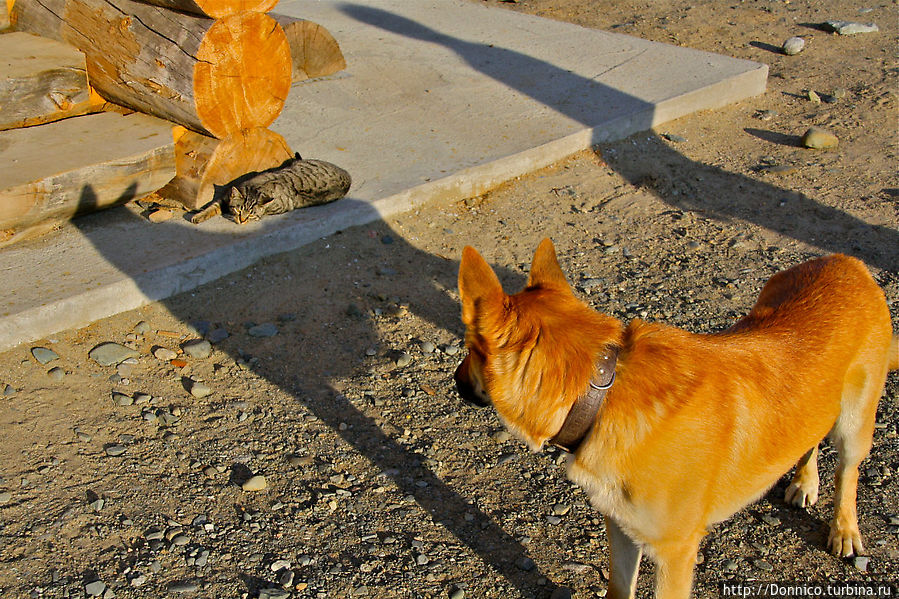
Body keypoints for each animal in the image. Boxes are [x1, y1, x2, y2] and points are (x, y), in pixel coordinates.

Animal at [458, 240, 899, 599]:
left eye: (469, 348)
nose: (456, 380)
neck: (602, 391)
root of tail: (847, 262)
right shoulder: (622, 528)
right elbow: (619, 588)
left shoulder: (676, 554)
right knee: (810, 436)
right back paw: (805, 480)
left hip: (855, 424)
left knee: (847, 473)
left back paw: (844, 529)